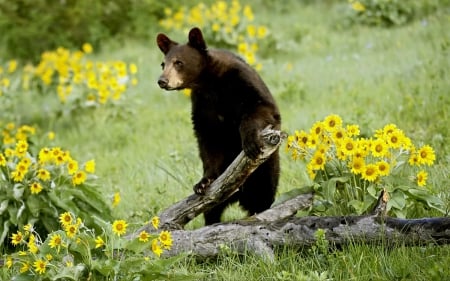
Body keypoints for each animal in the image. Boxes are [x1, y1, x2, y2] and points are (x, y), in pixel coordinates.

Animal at [156, 27, 280, 224]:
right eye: (163, 64)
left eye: (178, 62)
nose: (162, 81)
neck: (209, 83)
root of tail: (239, 197)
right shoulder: (203, 104)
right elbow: (208, 139)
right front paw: (203, 182)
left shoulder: (243, 81)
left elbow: (262, 107)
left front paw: (250, 143)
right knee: (212, 209)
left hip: (266, 172)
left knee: (262, 197)